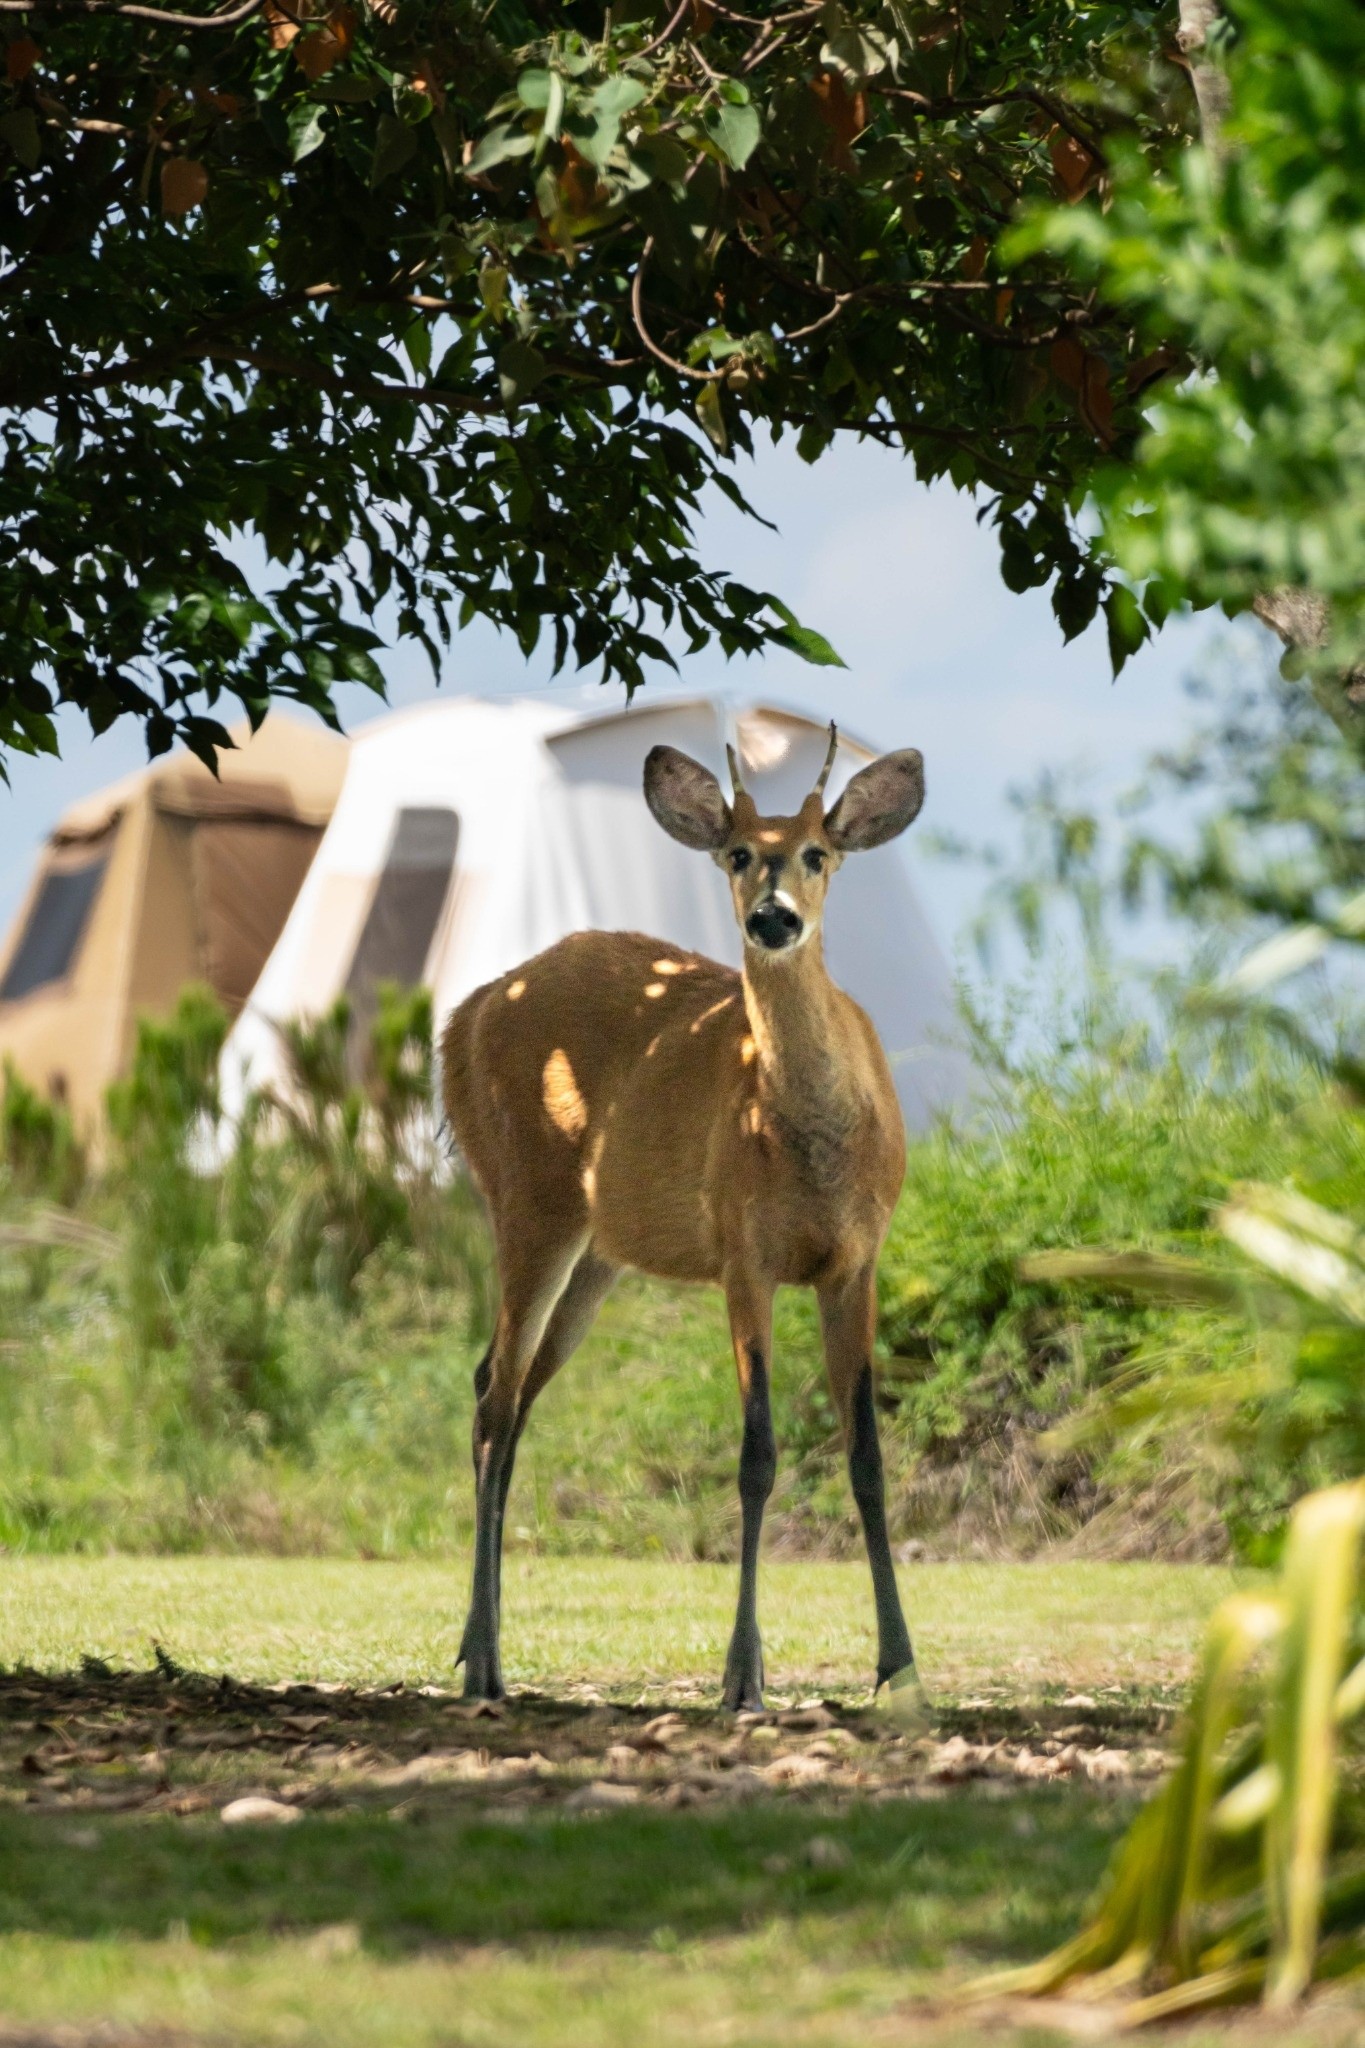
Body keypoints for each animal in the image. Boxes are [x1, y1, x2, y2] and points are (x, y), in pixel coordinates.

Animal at [440, 724, 926, 1710]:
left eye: (817, 854)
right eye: (737, 853)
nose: (773, 919)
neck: (809, 1150)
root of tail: (461, 1018)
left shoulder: (856, 1259)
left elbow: (864, 1456)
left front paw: (898, 1668)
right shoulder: (743, 1253)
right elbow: (757, 1454)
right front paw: (742, 1677)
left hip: (597, 1255)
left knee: (501, 1393)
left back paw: (484, 1649)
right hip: (528, 1198)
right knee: (495, 1400)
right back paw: (483, 1665)